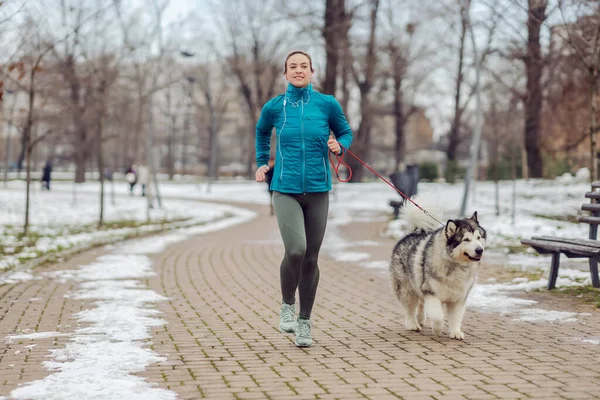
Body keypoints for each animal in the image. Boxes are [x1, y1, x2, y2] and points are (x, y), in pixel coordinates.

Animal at [392, 198, 486, 340]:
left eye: (478, 238)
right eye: (466, 239)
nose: (480, 250)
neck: (454, 264)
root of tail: (413, 232)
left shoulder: (459, 297)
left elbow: (456, 317)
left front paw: (455, 332)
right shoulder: (430, 292)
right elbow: (438, 316)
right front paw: (437, 329)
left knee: (421, 303)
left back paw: (420, 319)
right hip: (407, 290)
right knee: (410, 309)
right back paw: (413, 324)